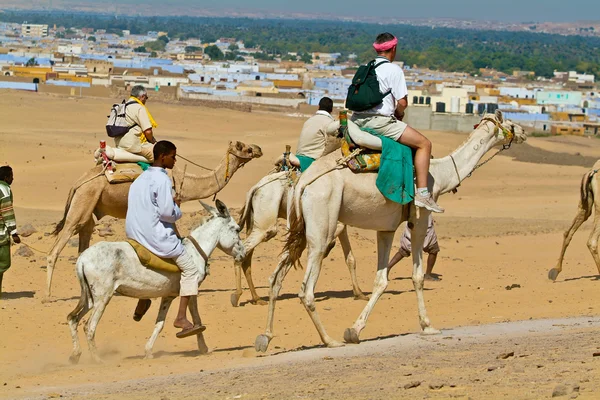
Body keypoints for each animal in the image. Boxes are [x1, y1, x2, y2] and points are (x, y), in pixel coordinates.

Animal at [47, 139, 262, 298]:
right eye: (244, 147)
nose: (259, 149)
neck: (185, 183)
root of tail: (79, 182)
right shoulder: (169, 205)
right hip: (84, 201)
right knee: (56, 247)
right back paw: (48, 295)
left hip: (89, 207)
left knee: (83, 240)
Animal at [66, 200, 244, 362]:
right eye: (237, 229)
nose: (242, 253)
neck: (195, 251)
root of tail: (82, 259)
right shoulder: (191, 285)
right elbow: (196, 318)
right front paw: (202, 347)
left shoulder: (168, 296)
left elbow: (160, 323)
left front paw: (148, 352)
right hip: (103, 298)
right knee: (89, 326)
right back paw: (97, 359)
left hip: (90, 298)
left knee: (72, 318)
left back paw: (75, 355)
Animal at [232, 171, 368, 306]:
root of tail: (256, 187)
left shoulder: (339, 224)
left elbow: (350, 259)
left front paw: (359, 293)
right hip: (266, 222)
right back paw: (237, 295)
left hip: (253, 221)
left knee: (247, 257)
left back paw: (256, 298)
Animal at [255, 111, 528, 352]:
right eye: (511, 124)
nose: (524, 132)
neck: (441, 174)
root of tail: (302, 183)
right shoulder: (419, 220)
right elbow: (417, 276)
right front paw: (428, 325)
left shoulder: (385, 227)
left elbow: (381, 280)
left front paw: (354, 330)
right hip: (323, 223)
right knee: (306, 289)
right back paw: (329, 341)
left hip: (300, 227)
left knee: (276, 278)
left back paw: (265, 337)